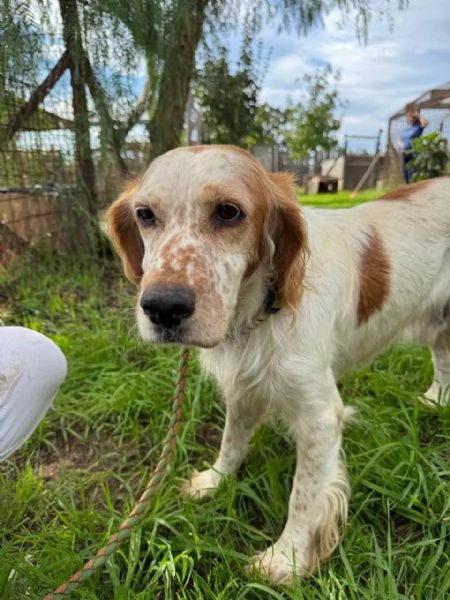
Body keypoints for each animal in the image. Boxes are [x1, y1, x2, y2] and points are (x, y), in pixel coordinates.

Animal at [108, 144, 450, 580]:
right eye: (145, 215)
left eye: (228, 212)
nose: (163, 307)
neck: (260, 309)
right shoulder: (242, 388)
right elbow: (231, 441)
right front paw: (214, 481)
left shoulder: (320, 416)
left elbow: (304, 494)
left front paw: (285, 557)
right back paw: (436, 400)